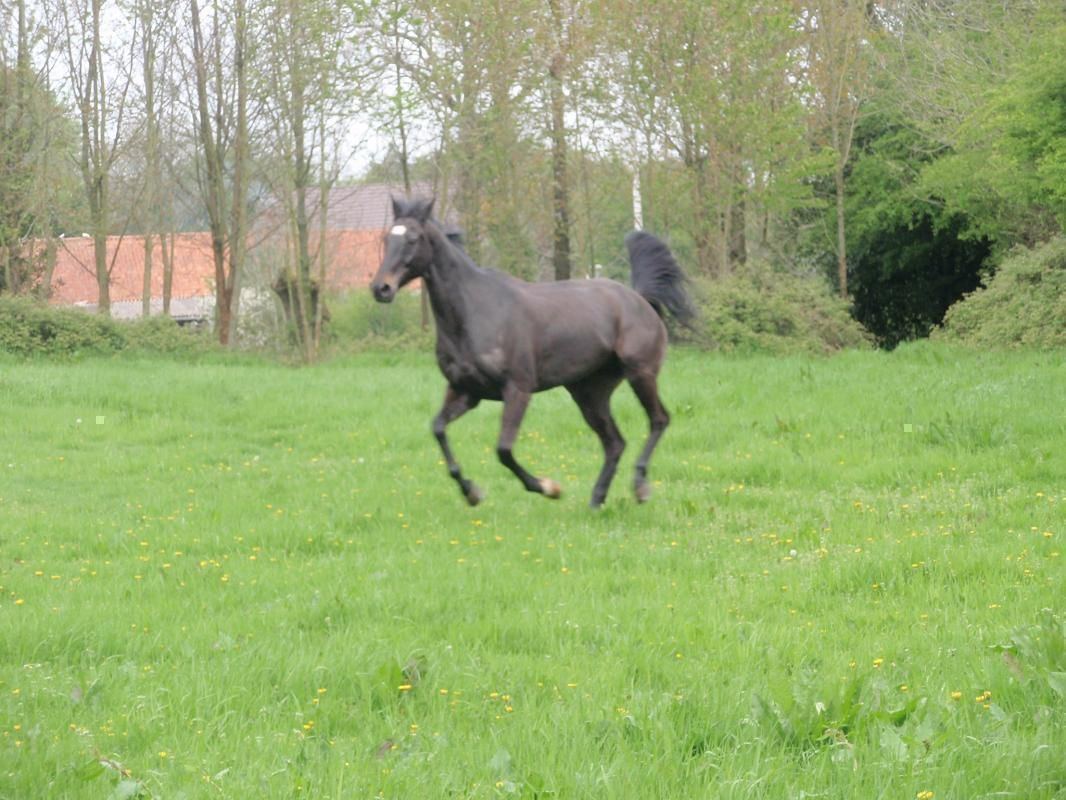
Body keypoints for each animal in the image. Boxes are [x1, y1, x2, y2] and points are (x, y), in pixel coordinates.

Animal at [371, 196, 696, 508]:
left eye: (413, 238)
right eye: (387, 238)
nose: (381, 288)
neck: (475, 311)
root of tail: (640, 299)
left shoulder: (518, 389)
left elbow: (503, 450)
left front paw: (548, 487)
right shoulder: (465, 391)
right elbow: (438, 428)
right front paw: (471, 492)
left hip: (641, 374)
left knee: (658, 420)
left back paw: (640, 488)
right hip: (589, 392)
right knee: (614, 442)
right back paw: (596, 500)